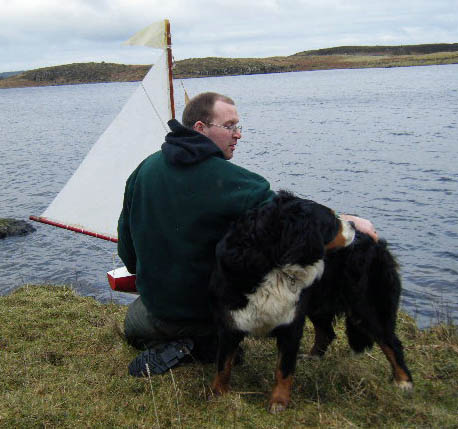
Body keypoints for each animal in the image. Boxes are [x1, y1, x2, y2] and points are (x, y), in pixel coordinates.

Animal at [306, 229, 414, 390]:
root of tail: (379, 247)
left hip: (367, 309)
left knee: (391, 342)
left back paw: (403, 381)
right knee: (326, 334)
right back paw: (311, 358)